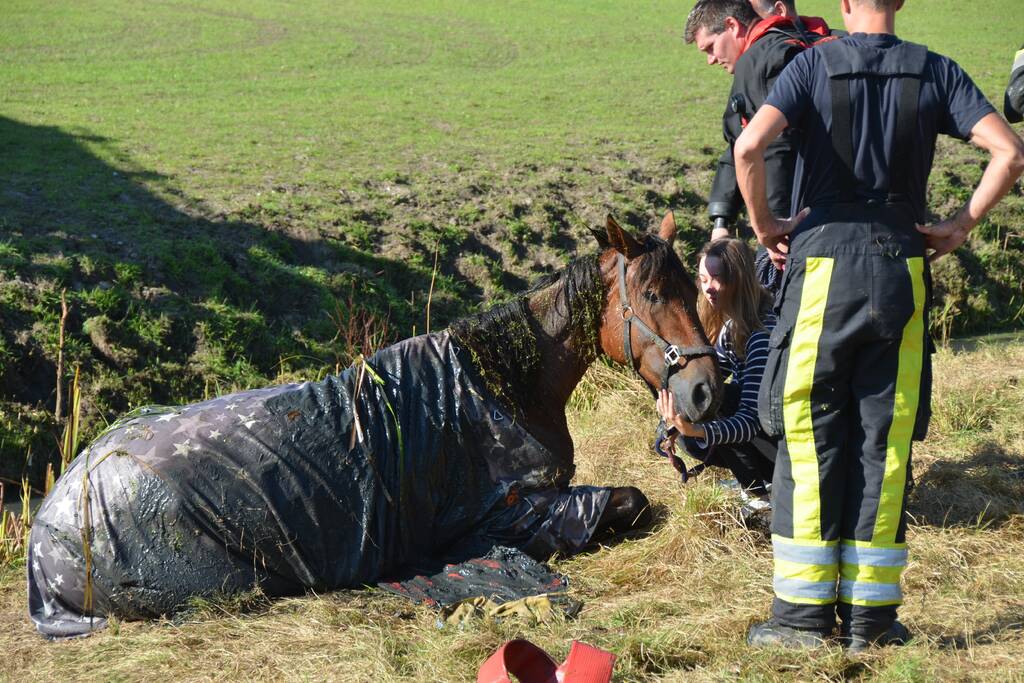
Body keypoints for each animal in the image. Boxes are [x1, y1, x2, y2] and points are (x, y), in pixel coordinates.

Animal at [27, 213, 721, 638]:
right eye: (653, 296)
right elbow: (630, 500)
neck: (497, 382)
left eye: (694, 289)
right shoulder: (508, 513)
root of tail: (46, 528)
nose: (705, 390)